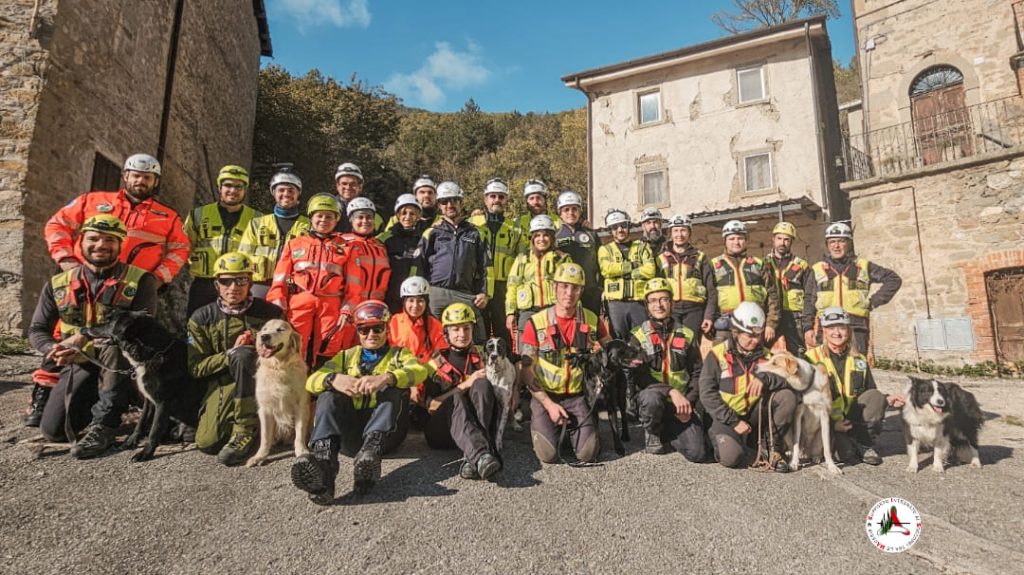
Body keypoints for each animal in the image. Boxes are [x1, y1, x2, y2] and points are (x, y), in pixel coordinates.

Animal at [83, 308, 199, 460]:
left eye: (109, 321)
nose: (84, 329)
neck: (153, 354)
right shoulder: (149, 401)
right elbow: (140, 423)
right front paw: (130, 443)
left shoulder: (162, 403)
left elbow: (154, 430)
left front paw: (145, 453)